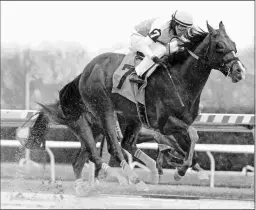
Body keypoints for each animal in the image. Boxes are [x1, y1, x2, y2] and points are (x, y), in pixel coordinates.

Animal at [17, 21, 246, 195]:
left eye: (234, 43)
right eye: (219, 46)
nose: (239, 71)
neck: (179, 80)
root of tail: (85, 70)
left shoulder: (177, 123)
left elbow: (189, 141)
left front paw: (186, 167)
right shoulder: (164, 123)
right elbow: (192, 134)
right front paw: (179, 169)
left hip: (129, 118)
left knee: (96, 154)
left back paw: (90, 185)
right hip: (102, 109)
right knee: (113, 147)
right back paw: (131, 178)